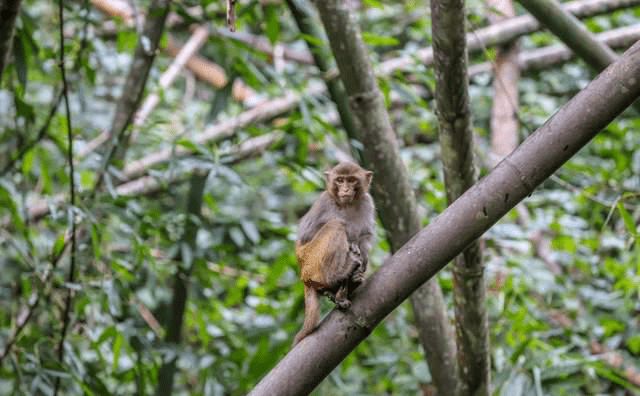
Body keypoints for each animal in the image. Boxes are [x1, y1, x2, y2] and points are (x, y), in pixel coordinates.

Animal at [292, 160, 376, 344]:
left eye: (351, 180)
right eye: (340, 180)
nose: (345, 189)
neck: (347, 205)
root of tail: (303, 274)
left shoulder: (368, 202)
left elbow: (365, 236)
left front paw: (362, 259)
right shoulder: (324, 202)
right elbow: (306, 236)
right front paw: (352, 247)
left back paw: (347, 284)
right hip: (310, 261)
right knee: (336, 225)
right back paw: (336, 276)